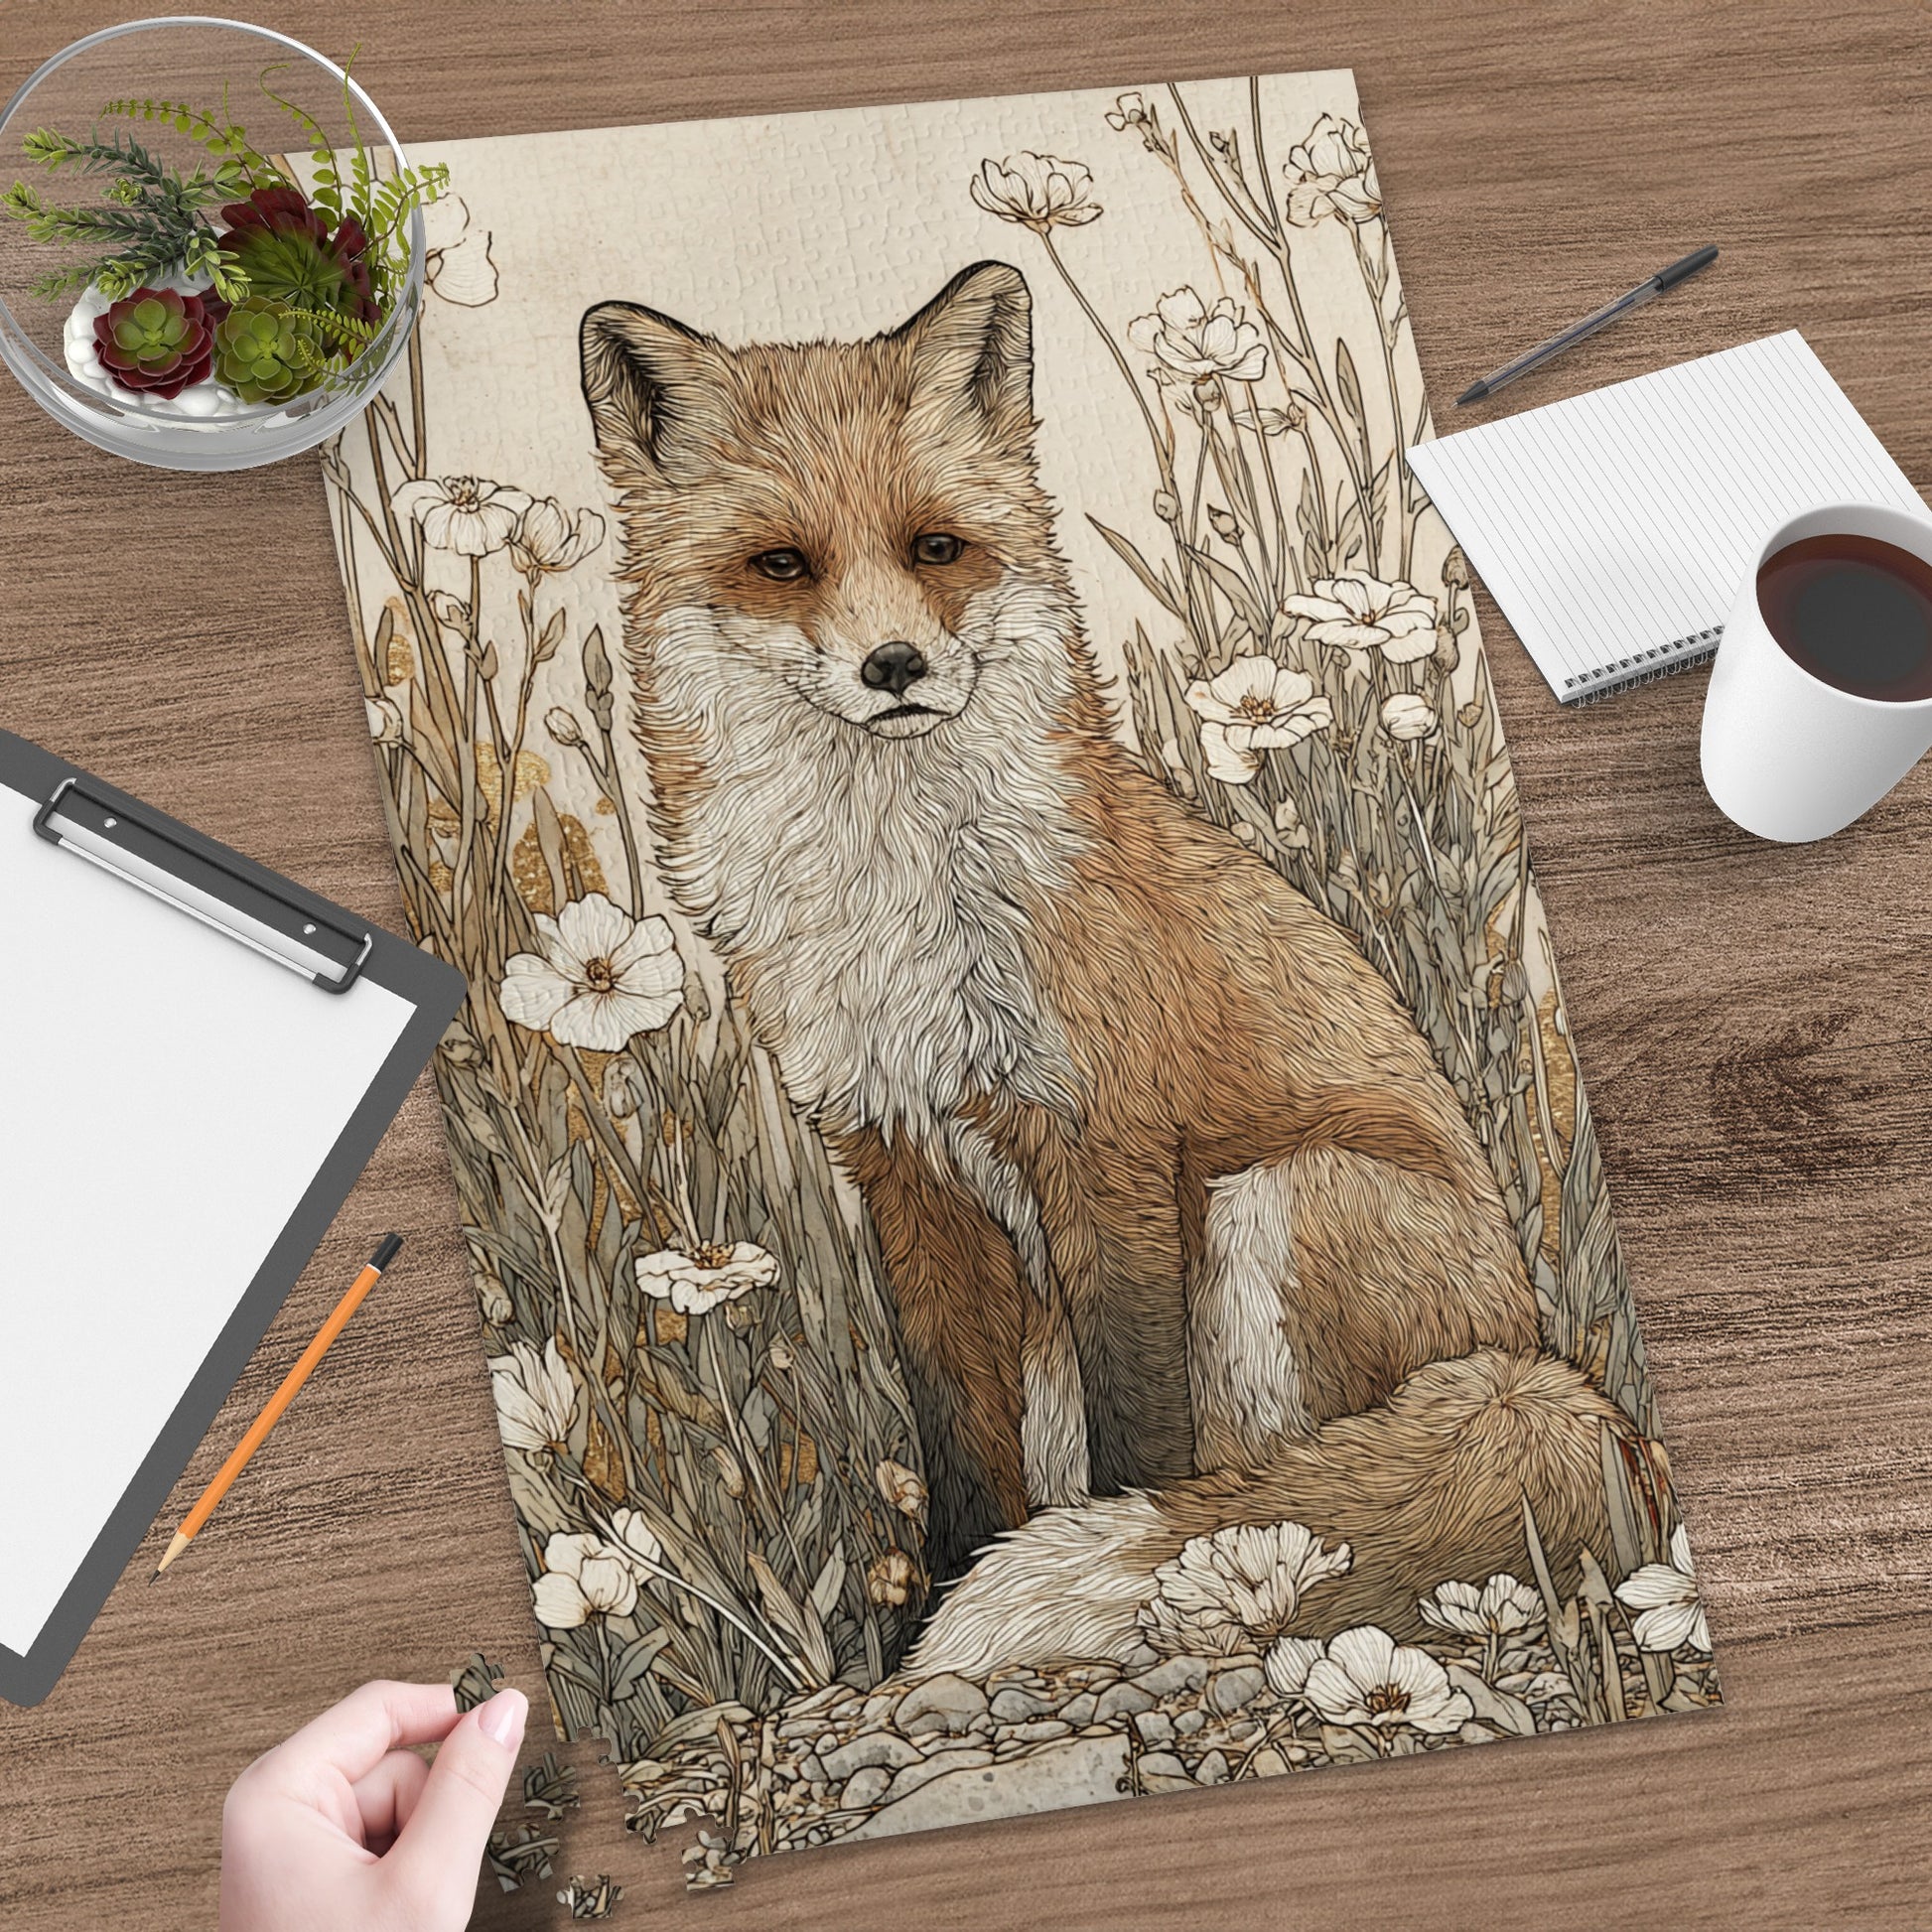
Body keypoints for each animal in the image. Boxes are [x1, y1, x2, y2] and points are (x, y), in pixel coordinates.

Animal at [579, 260, 1636, 1675]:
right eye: (782, 565)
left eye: (934, 548)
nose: (894, 667)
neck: (895, 892)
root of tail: (1530, 1352)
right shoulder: (898, 1160)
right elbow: (953, 1438)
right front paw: (935, 1606)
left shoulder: (1104, 1138)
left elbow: (1144, 1426)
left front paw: (1127, 1570)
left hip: (1271, 1199)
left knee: (1285, 1482)